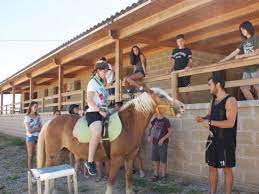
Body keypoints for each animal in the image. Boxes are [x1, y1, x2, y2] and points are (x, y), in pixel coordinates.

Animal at [37, 88, 186, 194]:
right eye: (161, 96)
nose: (182, 107)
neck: (128, 125)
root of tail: (50, 122)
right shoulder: (116, 159)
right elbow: (111, 182)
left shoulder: (129, 158)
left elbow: (129, 180)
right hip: (52, 155)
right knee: (47, 174)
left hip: (60, 154)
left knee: (52, 175)